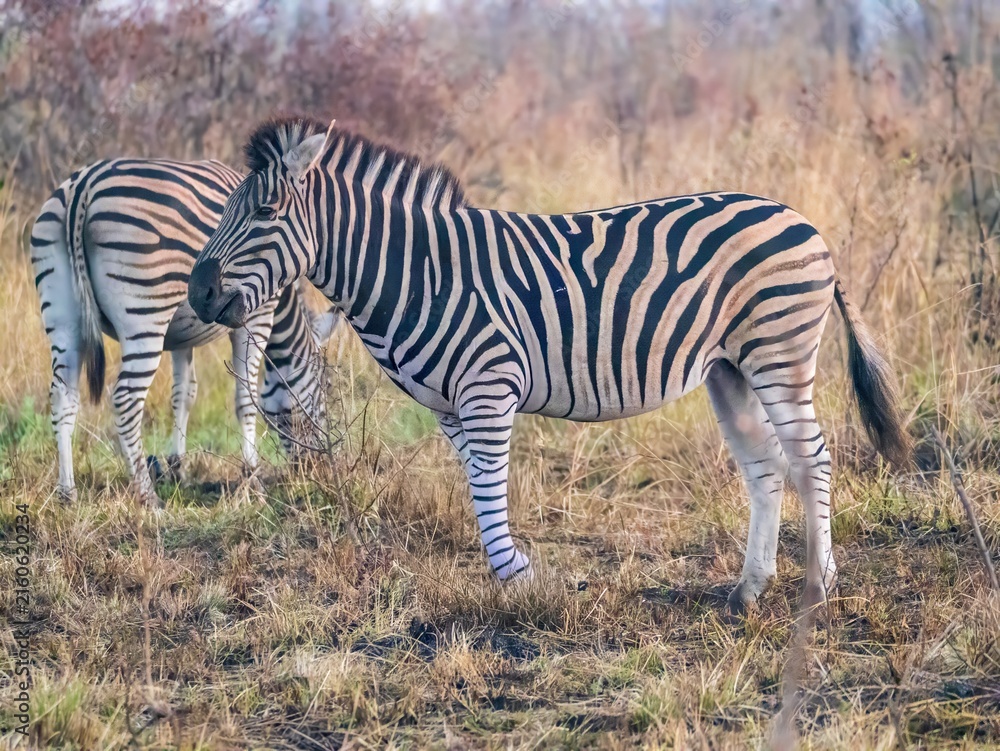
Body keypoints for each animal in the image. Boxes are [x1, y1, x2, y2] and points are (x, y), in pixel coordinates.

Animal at [30, 158, 339, 508]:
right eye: (325, 387)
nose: (319, 469)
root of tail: (83, 185)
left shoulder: (179, 335)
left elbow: (184, 395)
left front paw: (178, 468)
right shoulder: (255, 318)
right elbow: (246, 397)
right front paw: (253, 479)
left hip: (62, 316)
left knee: (62, 396)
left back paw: (67, 493)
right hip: (144, 315)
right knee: (125, 398)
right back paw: (149, 499)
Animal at [188, 117, 909, 611]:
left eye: (264, 211)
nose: (196, 293)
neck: (417, 273)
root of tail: (803, 220)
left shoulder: (489, 387)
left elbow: (488, 487)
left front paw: (521, 582)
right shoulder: (451, 407)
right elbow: (476, 486)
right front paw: (513, 575)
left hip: (778, 354)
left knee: (812, 458)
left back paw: (819, 585)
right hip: (730, 369)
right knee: (766, 466)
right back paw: (749, 587)